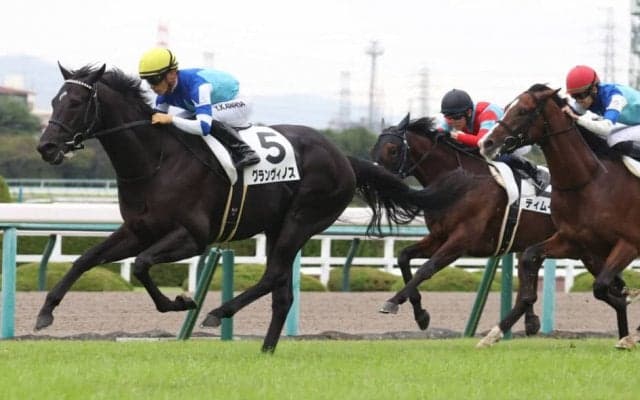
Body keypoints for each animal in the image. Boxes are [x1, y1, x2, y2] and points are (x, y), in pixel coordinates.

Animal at [36, 64, 473, 353]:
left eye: (76, 102)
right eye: (54, 101)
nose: (46, 147)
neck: (156, 160)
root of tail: (344, 158)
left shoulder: (192, 237)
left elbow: (142, 265)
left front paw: (181, 302)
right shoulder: (138, 230)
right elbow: (85, 260)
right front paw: (45, 313)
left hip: (301, 220)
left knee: (273, 275)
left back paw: (219, 312)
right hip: (279, 226)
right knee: (282, 292)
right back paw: (266, 348)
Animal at [371, 114, 556, 334]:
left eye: (393, 150)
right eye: (373, 149)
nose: (375, 183)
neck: (460, 183)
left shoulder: (462, 239)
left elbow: (427, 268)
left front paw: (393, 301)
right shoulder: (439, 236)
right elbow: (404, 257)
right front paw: (420, 314)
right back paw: (531, 321)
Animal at [479, 83, 640, 349]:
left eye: (523, 110)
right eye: (508, 107)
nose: (487, 143)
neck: (589, 183)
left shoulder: (629, 244)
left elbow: (602, 286)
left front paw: (630, 329)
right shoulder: (576, 243)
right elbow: (530, 257)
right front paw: (494, 333)